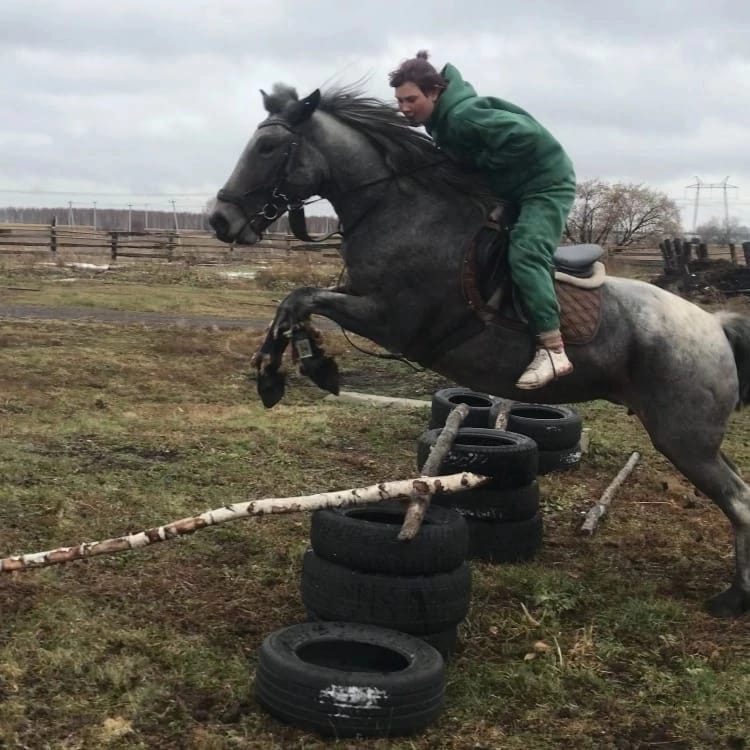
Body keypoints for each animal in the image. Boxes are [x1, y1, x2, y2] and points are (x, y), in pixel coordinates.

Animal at [209, 85, 750, 620]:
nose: (220, 219)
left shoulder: (391, 319)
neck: (402, 212)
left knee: (739, 499)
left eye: (267, 147)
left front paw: (281, 374)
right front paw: (307, 362)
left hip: (684, 438)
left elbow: (298, 299)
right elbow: (297, 303)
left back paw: (734, 598)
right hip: (695, 438)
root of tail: (714, 325)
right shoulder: (361, 299)